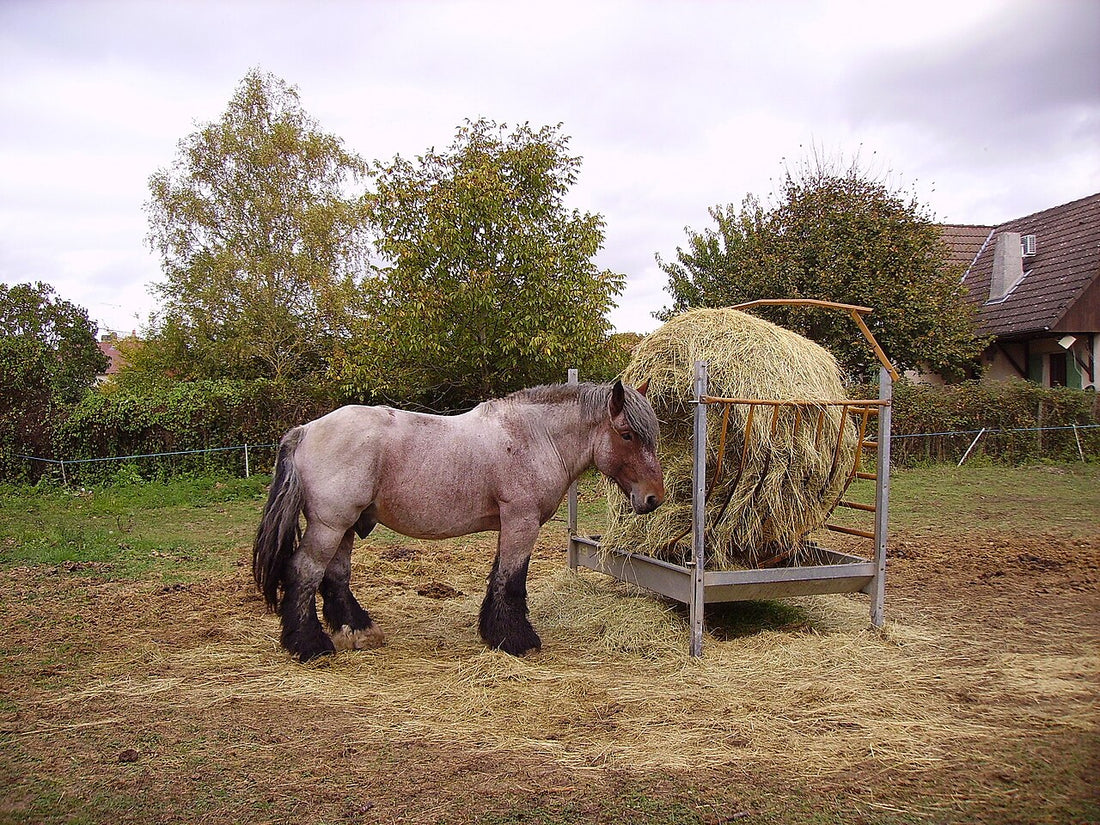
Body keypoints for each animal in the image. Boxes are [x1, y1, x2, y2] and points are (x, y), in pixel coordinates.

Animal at [252, 379, 664, 661]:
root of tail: (305, 431)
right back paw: (309, 645)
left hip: (346, 527)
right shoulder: (522, 522)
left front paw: (494, 633)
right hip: (330, 525)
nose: (653, 498)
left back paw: (358, 632)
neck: (535, 437)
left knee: (335, 577)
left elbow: (499, 578)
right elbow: (511, 580)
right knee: (305, 572)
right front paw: (517, 640)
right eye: (626, 434)